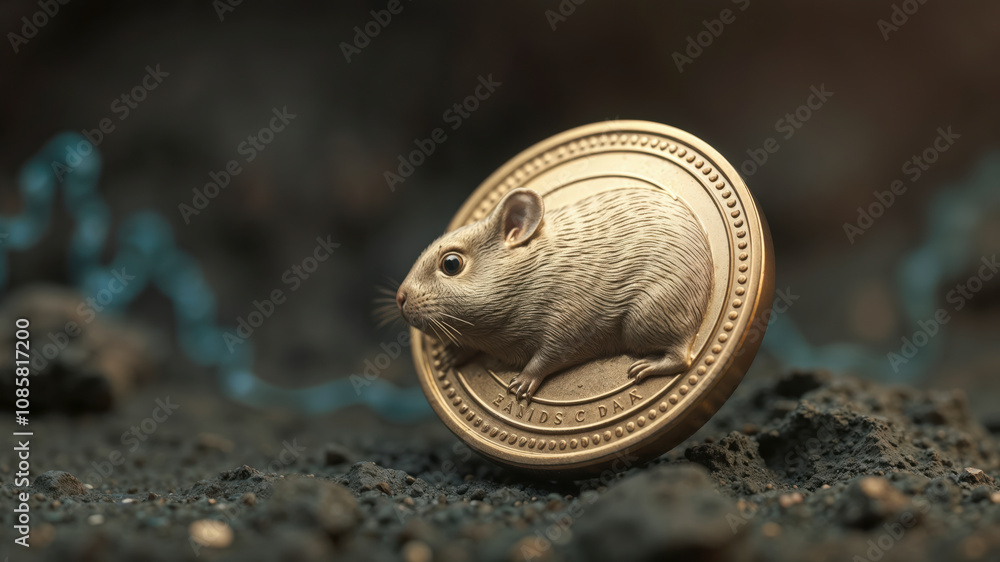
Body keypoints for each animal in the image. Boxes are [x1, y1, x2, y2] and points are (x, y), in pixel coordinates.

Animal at [396, 187, 713, 403]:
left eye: (451, 264)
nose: (400, 298)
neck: (529, 274)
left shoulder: (569, 320)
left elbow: (548, 356)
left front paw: (523, 382)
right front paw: (452, 354)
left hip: (647, 317)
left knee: (682, 356)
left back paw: (648, 366)